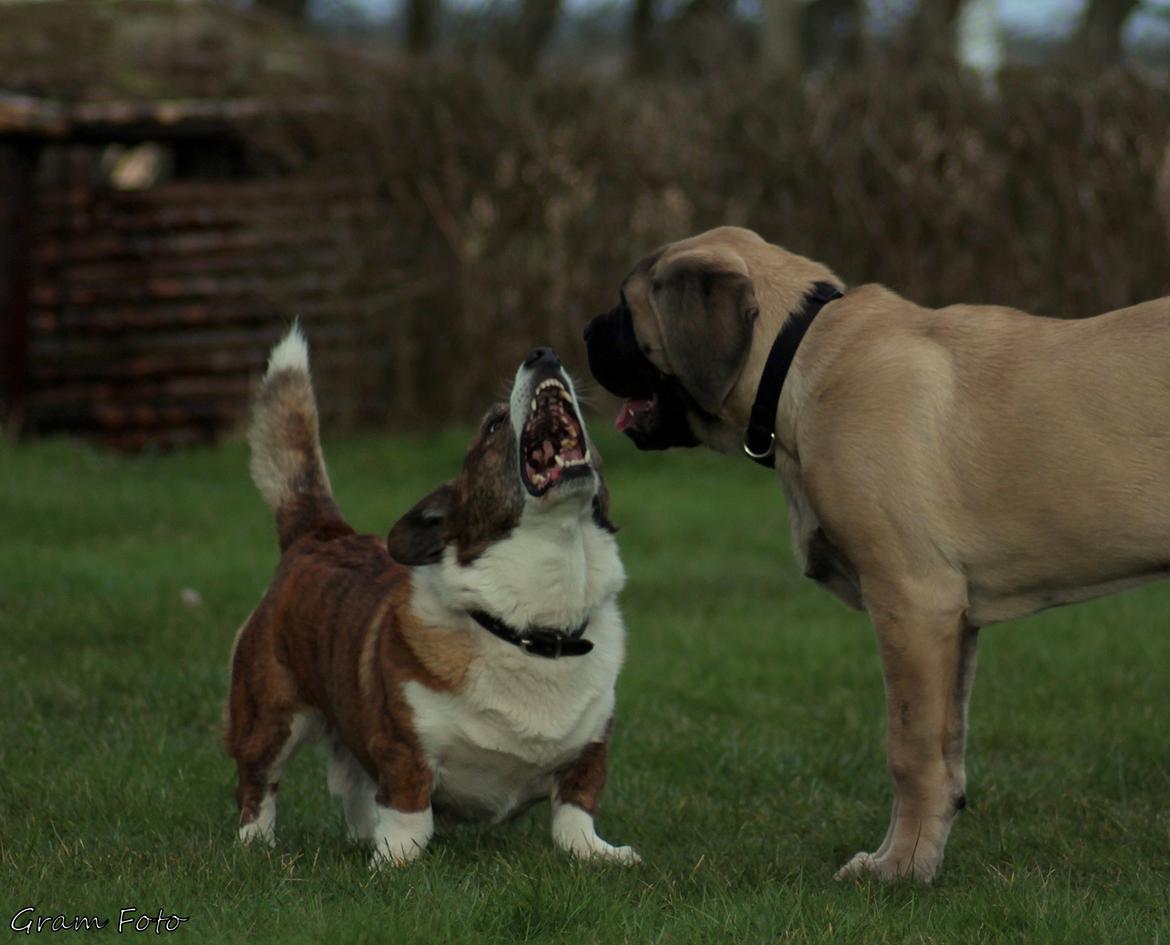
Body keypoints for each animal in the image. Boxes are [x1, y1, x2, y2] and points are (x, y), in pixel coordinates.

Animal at [222, 327, 636, 865]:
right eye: (493, 424)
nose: (543, 354)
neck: (531, 626)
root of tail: (320, 534)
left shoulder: (590, 752)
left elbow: (575, 813)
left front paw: (597, 853)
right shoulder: (402, 747)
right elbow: (410, 811)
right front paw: (395, 860)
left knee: (352, 782)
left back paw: (362, 836)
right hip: (269, 712)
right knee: (259, 783)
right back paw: (257, 844)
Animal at [589, 225, 1170, 884]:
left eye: (624, 307)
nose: (582, 334)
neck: (803, 361)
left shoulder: (912, 600)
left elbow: (910, 749)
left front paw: (900, 868)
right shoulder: (953, 620)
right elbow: (948, 746)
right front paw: (916, 852)